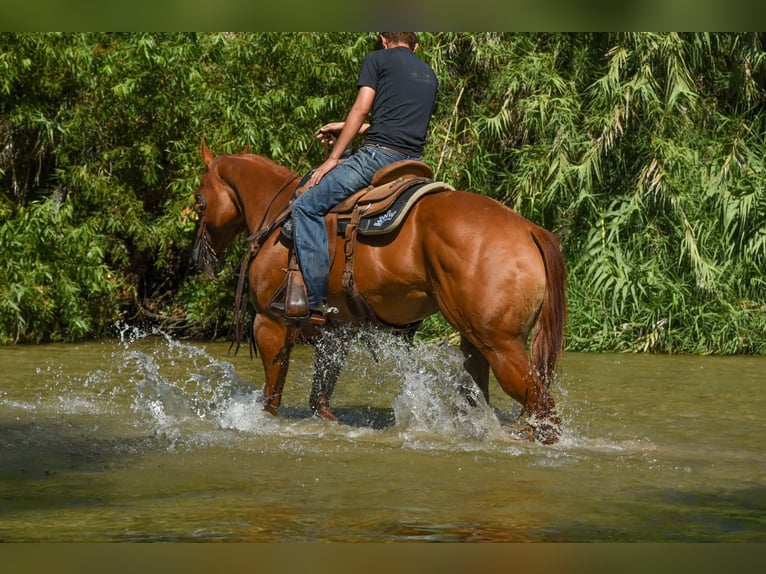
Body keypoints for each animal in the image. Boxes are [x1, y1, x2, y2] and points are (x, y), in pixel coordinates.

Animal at [192, 140, 567, 443]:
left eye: (198, 201)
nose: (200, 256)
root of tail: (529, 229)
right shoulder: (337, 333)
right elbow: (320, 400)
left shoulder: (270, 325)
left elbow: (272, 398)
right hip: (475, 342)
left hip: (501, 347)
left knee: (545, 411)